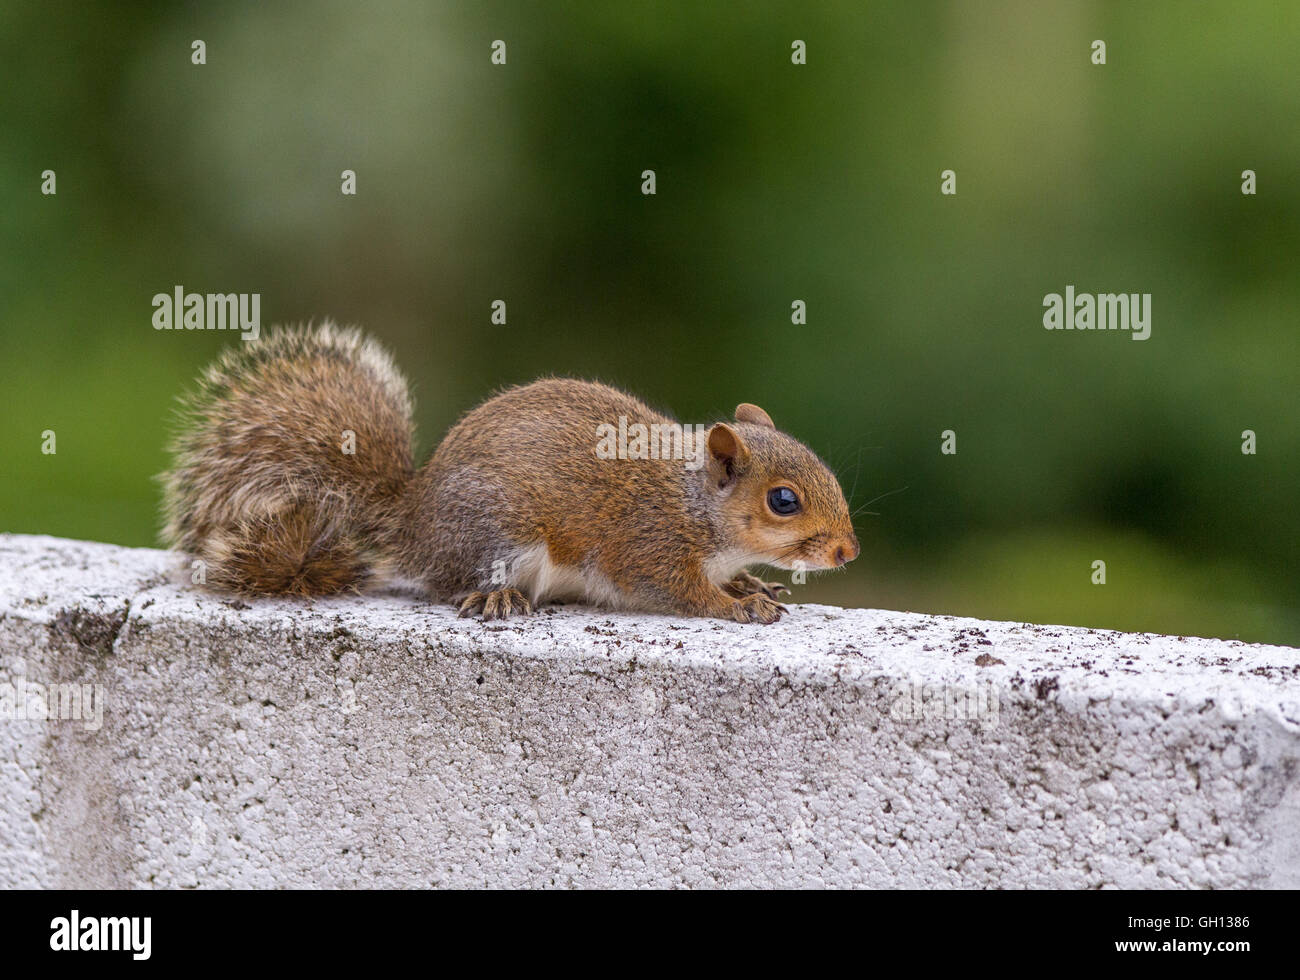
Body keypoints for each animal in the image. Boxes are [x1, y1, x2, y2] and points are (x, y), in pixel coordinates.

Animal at [162, 324, 857, 621]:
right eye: (784, 500)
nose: (848, 552)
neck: (696, 505)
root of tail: (411, 519)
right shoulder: (647, 546)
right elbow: (679, 591)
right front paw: (738, 606)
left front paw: (753, 586)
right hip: (497, 532)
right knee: (454, 584)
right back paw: (493, 596)